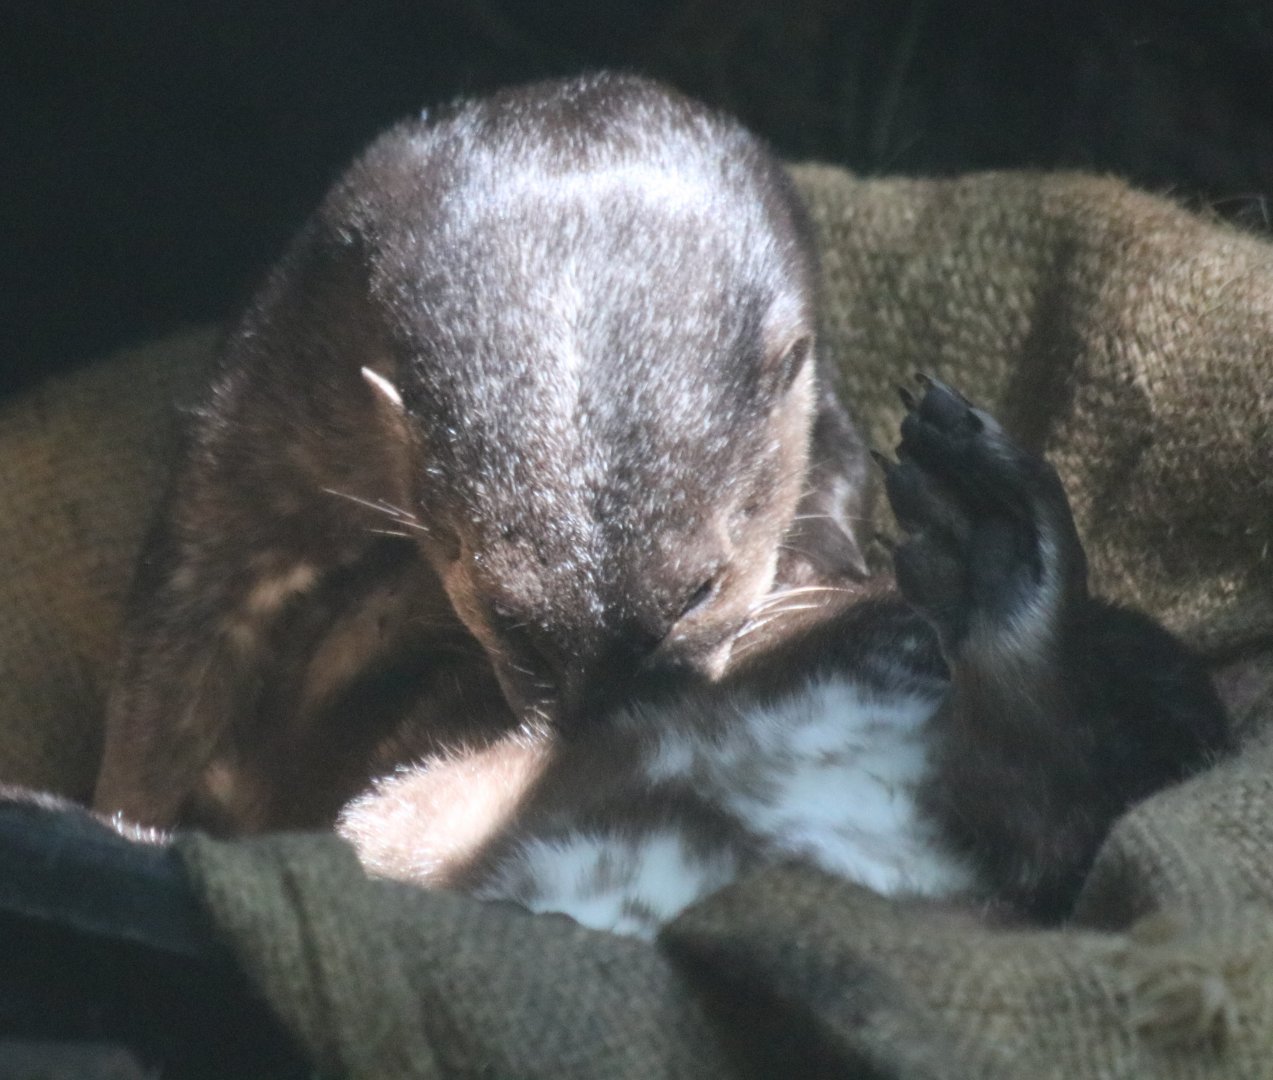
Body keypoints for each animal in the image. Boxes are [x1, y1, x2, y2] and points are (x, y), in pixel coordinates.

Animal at [93, 73, 872, 832]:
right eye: (505, 617)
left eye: (700, 593)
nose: (611, 723)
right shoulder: (276, 392)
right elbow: (181, 622)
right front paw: (127, 819)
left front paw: (812, 563)